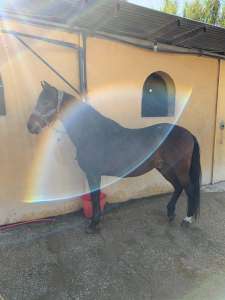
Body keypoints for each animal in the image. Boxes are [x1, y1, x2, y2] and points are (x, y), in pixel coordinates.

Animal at [27, 81, 201, 233]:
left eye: (46, 102)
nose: (30, 126)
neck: (91, 132)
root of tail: (188, 133)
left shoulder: (93, 173)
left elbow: (95, 198)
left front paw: (93, 224)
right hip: (165, 168)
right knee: (178, 187)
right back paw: (170, 213)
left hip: (179, 169)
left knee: (189, 189)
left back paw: (187, 219)